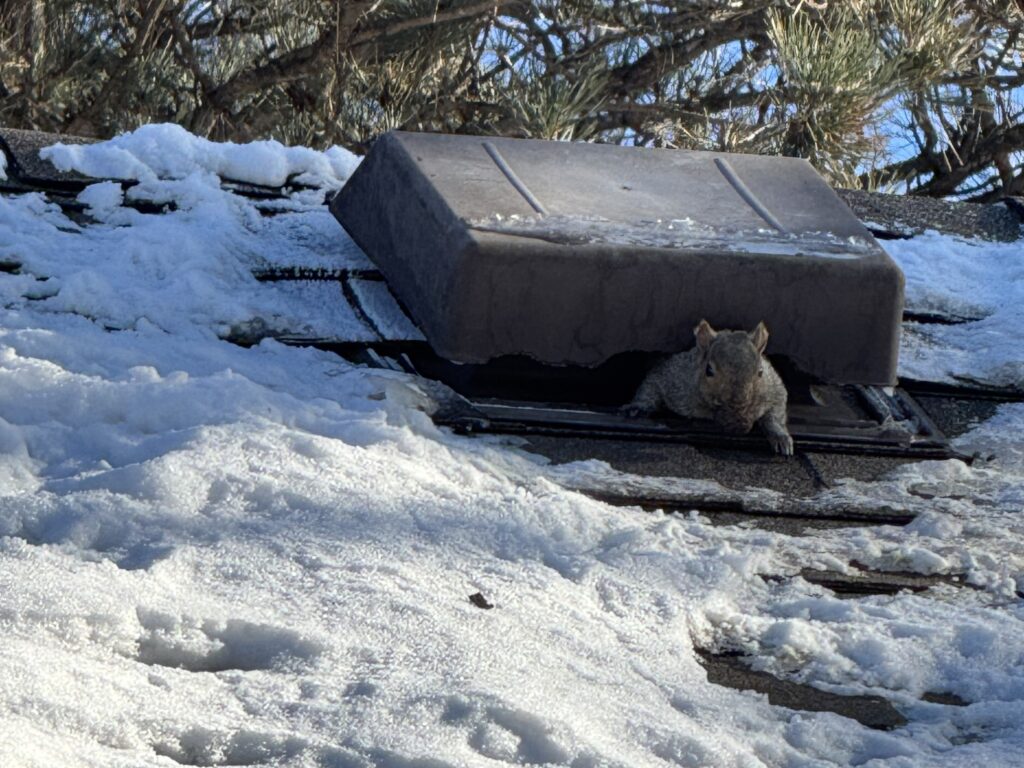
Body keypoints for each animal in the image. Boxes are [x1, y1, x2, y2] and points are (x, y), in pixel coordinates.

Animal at [623, 319, 794, 456]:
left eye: (760, 372)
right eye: (709, 370)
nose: (739, 426)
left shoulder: (774, 388)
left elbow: (776, 410)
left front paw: (780, 436)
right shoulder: (675, 380)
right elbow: (652, 383)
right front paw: (638, 407)